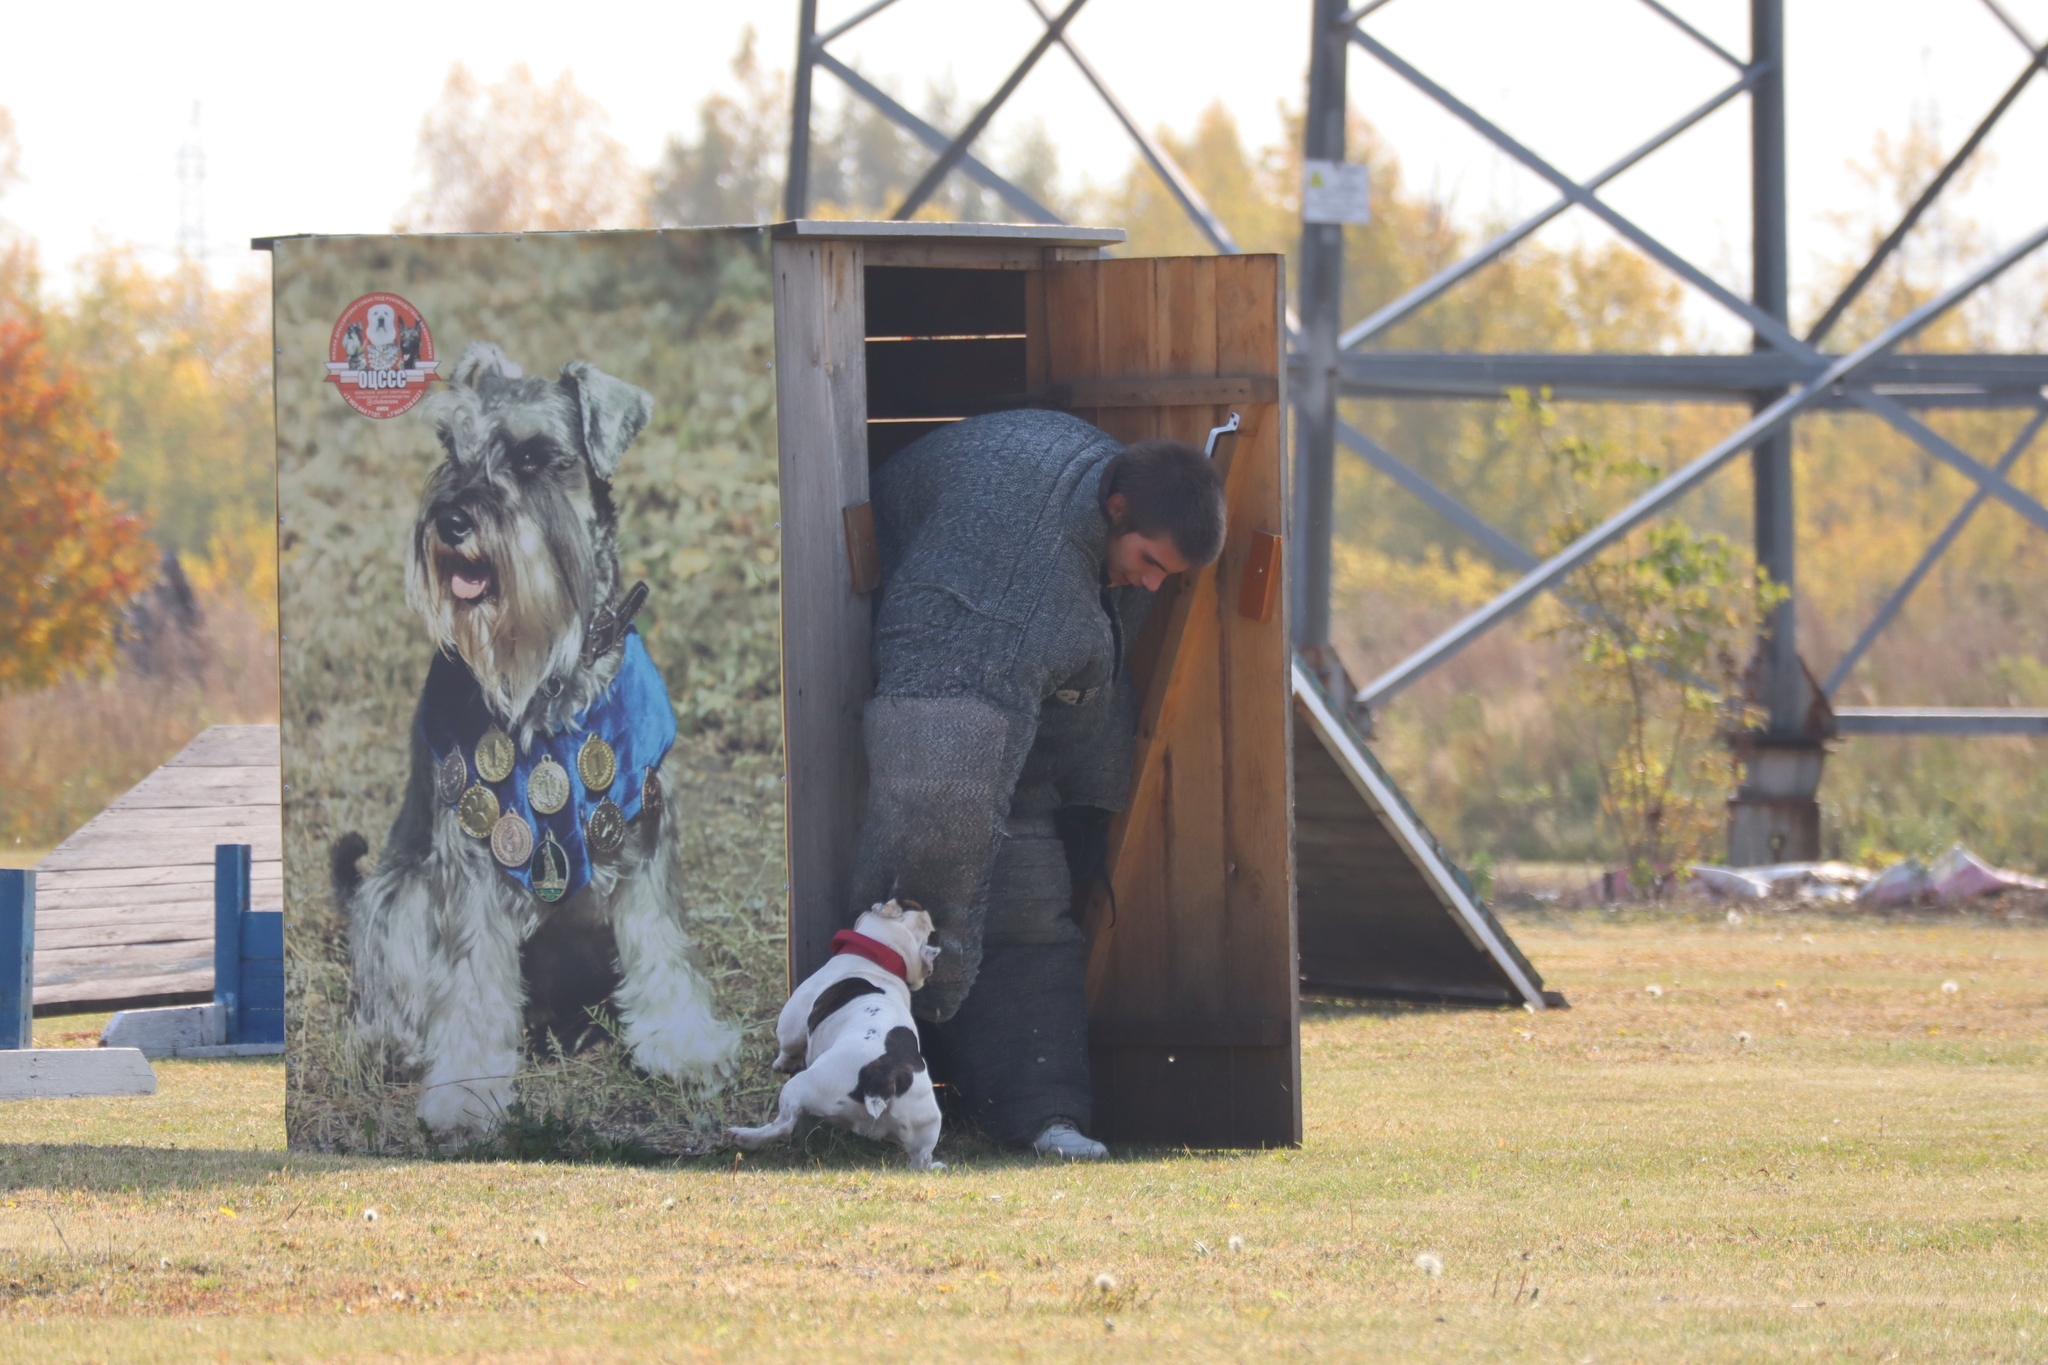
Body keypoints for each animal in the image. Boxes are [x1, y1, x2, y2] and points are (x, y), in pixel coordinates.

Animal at [733, 900, 946, 1170]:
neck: (881, 960)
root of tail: (884, 1080)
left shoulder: (792, 1021)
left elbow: (789, 1044)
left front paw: (782, 1063)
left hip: (805, 1085)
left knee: (784, 1124)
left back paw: (745, 1137)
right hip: (924, 1121)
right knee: (921, 1158)